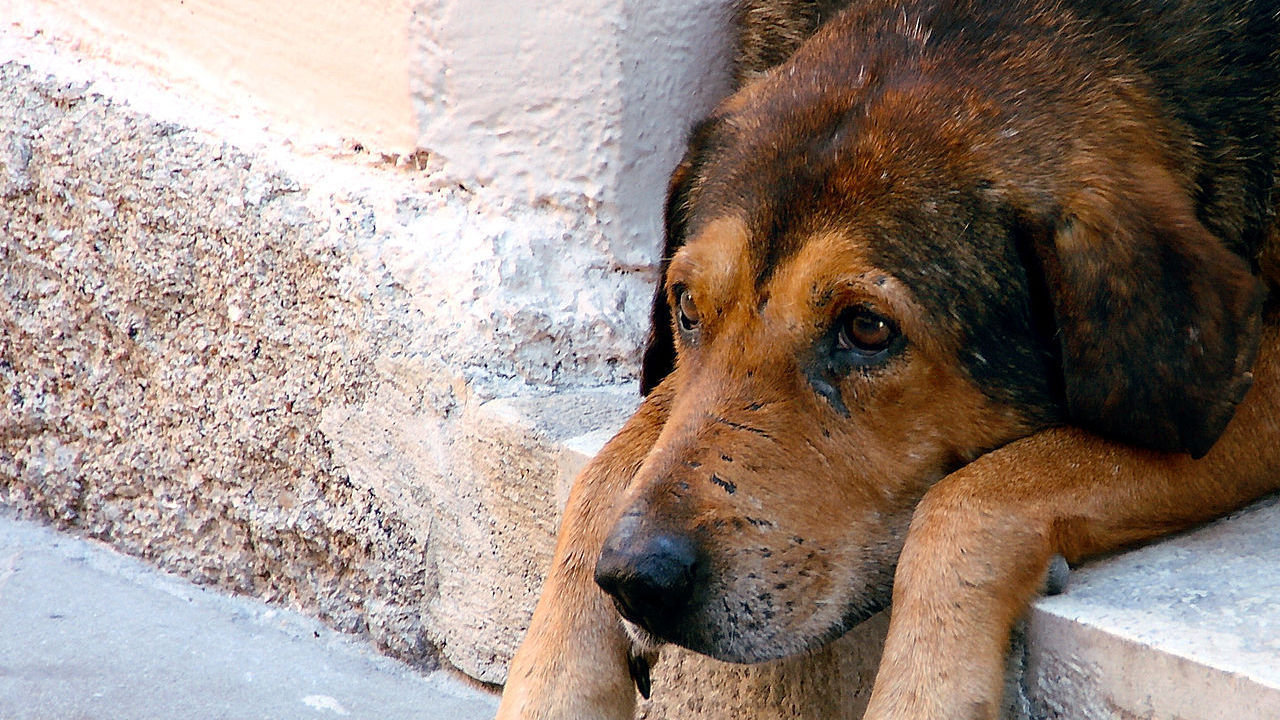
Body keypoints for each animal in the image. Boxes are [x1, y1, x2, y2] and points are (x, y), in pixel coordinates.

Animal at [496, 1, 1280, 717]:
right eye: (686, 307)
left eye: (868, 329)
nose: (637, 580)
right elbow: (607, 466)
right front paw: (555, 683)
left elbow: (967, 498)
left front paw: (925, 692)